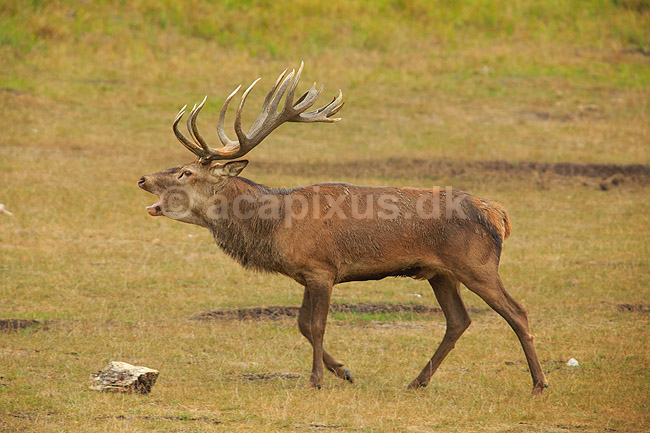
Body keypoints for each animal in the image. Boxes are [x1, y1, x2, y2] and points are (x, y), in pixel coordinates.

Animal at [138, 63, 548, 395]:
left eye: (185, 172)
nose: (143, 179)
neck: (275, 226)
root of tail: (496, 212)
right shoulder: (306, 273)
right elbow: (302, 325)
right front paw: (345, 372)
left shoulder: (322, 269)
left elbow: (317, 326)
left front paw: (316, 380)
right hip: (439, 272)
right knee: (458, 320)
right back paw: (417, 381)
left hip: (477, 264)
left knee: (517, 311)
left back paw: (539, 383)